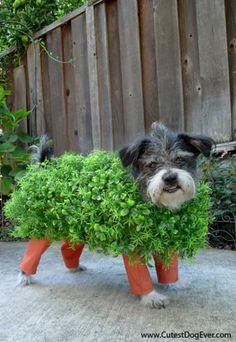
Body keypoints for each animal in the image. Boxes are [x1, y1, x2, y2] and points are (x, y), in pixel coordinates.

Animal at [17, 123, 215, 310]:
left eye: (180, 160)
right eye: (152, 165)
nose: (170, 177)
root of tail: (46, 168)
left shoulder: (166, 240)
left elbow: (169, 266)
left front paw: (173, 283)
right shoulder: (132, 245)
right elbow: (140, 276)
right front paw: (151, 297)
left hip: (76, 225)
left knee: (68, 245)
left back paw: (73, 266)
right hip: (43, 229)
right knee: (32, 252)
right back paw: (24, 276)